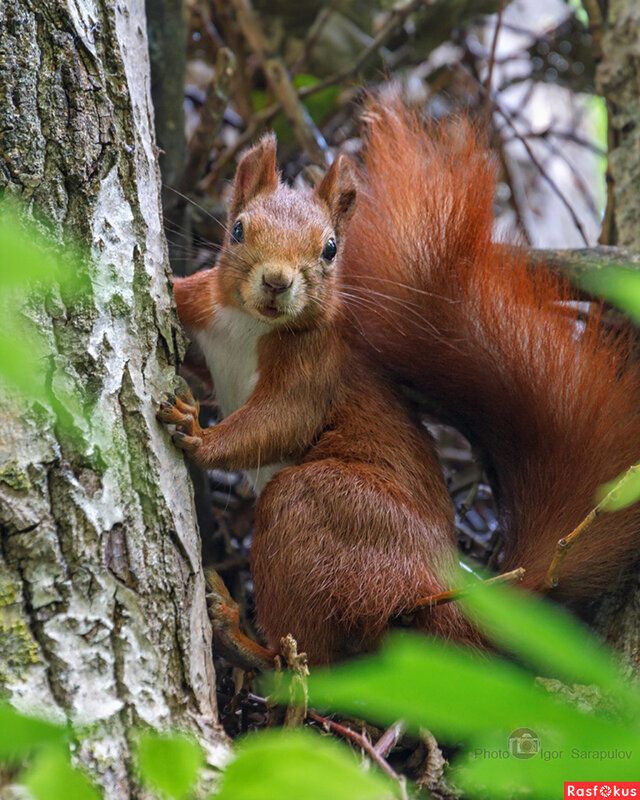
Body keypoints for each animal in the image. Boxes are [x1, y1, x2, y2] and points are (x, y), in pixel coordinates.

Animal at [158, 103, 640, 664]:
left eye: (330, 249)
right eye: (237, 229)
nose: (276, 282)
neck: (249, 326)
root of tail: (447, 597)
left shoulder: (316, 368)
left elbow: (283, 420)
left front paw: (200, 436)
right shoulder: (203, 307)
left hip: (327, 510)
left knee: (309, 658)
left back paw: (241, 636)